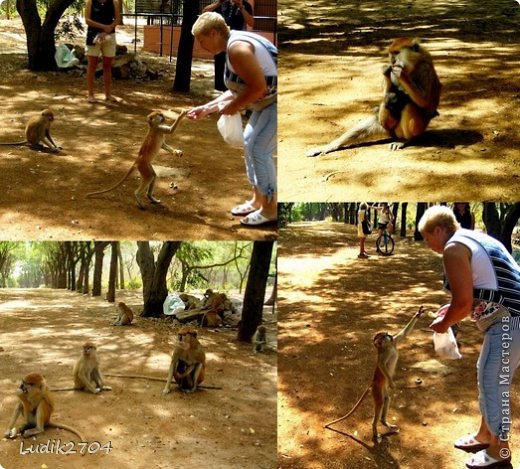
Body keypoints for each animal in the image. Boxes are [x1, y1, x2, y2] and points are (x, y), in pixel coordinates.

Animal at [306, 38, 440, 155]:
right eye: (391, 54)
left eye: (397, 53)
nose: (393, 61)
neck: (413, 63)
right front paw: (386, 71)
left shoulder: (425, 68)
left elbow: (424, 102)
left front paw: (401, 74)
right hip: (388, 128)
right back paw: (331, 145)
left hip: (418, 128)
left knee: (408, 105)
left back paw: (406, 140)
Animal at [322, 306, 424, 440]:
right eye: (384, 336)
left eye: (387, 334)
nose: (390, 335)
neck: (387, 347)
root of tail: (373, 382)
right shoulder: (385, 353)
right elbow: (381, 365)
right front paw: (392, 383)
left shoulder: (394, 343)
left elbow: (403, 334)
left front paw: (418, 313)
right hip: (377, 389)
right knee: (380, 402)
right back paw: (375, 428)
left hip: (382, 388)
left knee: (386, 399)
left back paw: (384, 422)